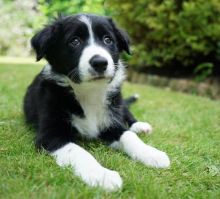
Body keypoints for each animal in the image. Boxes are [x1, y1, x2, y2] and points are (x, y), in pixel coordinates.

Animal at [23, 14, 170, 191]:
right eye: (74, 41)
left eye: (108, 40)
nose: (100, 62)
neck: (89, 91)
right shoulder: (50, 134)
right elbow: (78, 151)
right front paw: (102, 175)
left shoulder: (112, 122)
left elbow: (129, 136)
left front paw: (151, 153)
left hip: (118, 102)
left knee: (127, 114)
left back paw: (140, 126)